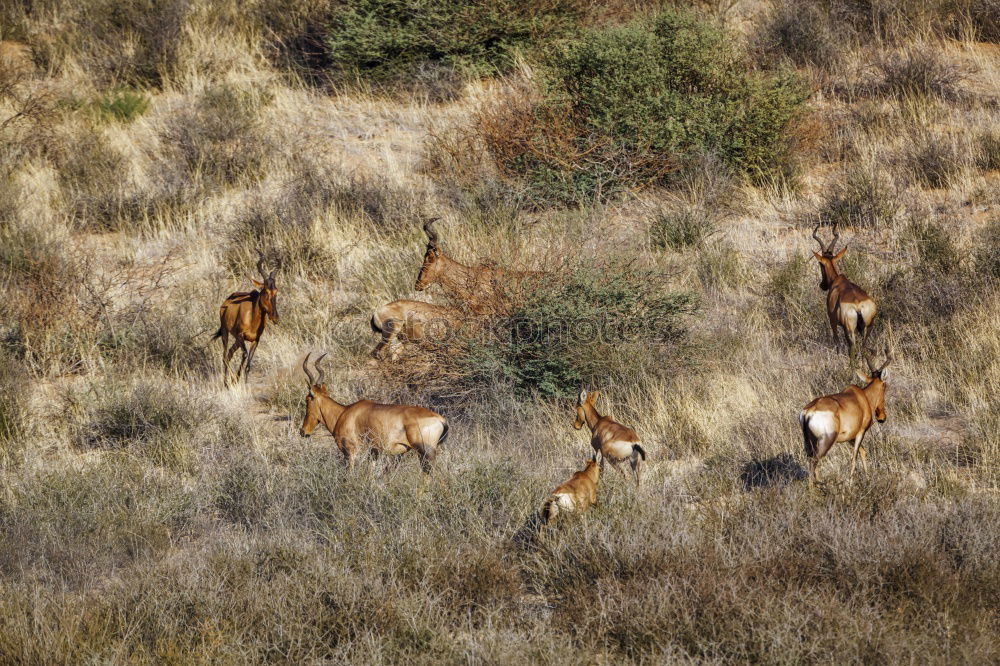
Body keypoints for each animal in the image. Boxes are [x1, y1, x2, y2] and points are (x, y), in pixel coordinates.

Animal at [212, 250, 282, 384]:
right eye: (265, 290)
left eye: (276, 291)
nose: (275, 318)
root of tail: (226, 301)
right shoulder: (240, 336)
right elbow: (244, 355)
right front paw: (235, 379)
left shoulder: (255, 340)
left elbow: (248, 365)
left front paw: (242, 382)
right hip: (226, 332)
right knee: (225, 355)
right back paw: (226, 383)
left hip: (237, 340)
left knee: (229, 354)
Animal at [298, 352, 452, 472]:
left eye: (307, 399)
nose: (303, 431)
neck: (344, 413)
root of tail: (440, 419)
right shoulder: (374, 452)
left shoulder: (350, 451)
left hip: (426, 452)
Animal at [796, 356, 892, 486]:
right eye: (884, 386)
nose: (882, 417)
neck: (862, 397)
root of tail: (808, 412)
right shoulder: (860, 432)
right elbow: (854, 456)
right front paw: (851, 482)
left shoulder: (849, 437)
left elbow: (862, 452)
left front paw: (867, 478)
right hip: (826, 441)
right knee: (814, 461)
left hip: (808, 442)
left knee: (811, 460)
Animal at [812, 220, 876, 360]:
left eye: (820, 264)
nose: (822, 285)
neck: (838, 281)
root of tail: (858, 305)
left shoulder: (832, 321)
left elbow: (837, 342)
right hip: (867, 328)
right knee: (863, 348)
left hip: (849, 329)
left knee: (852, 348)